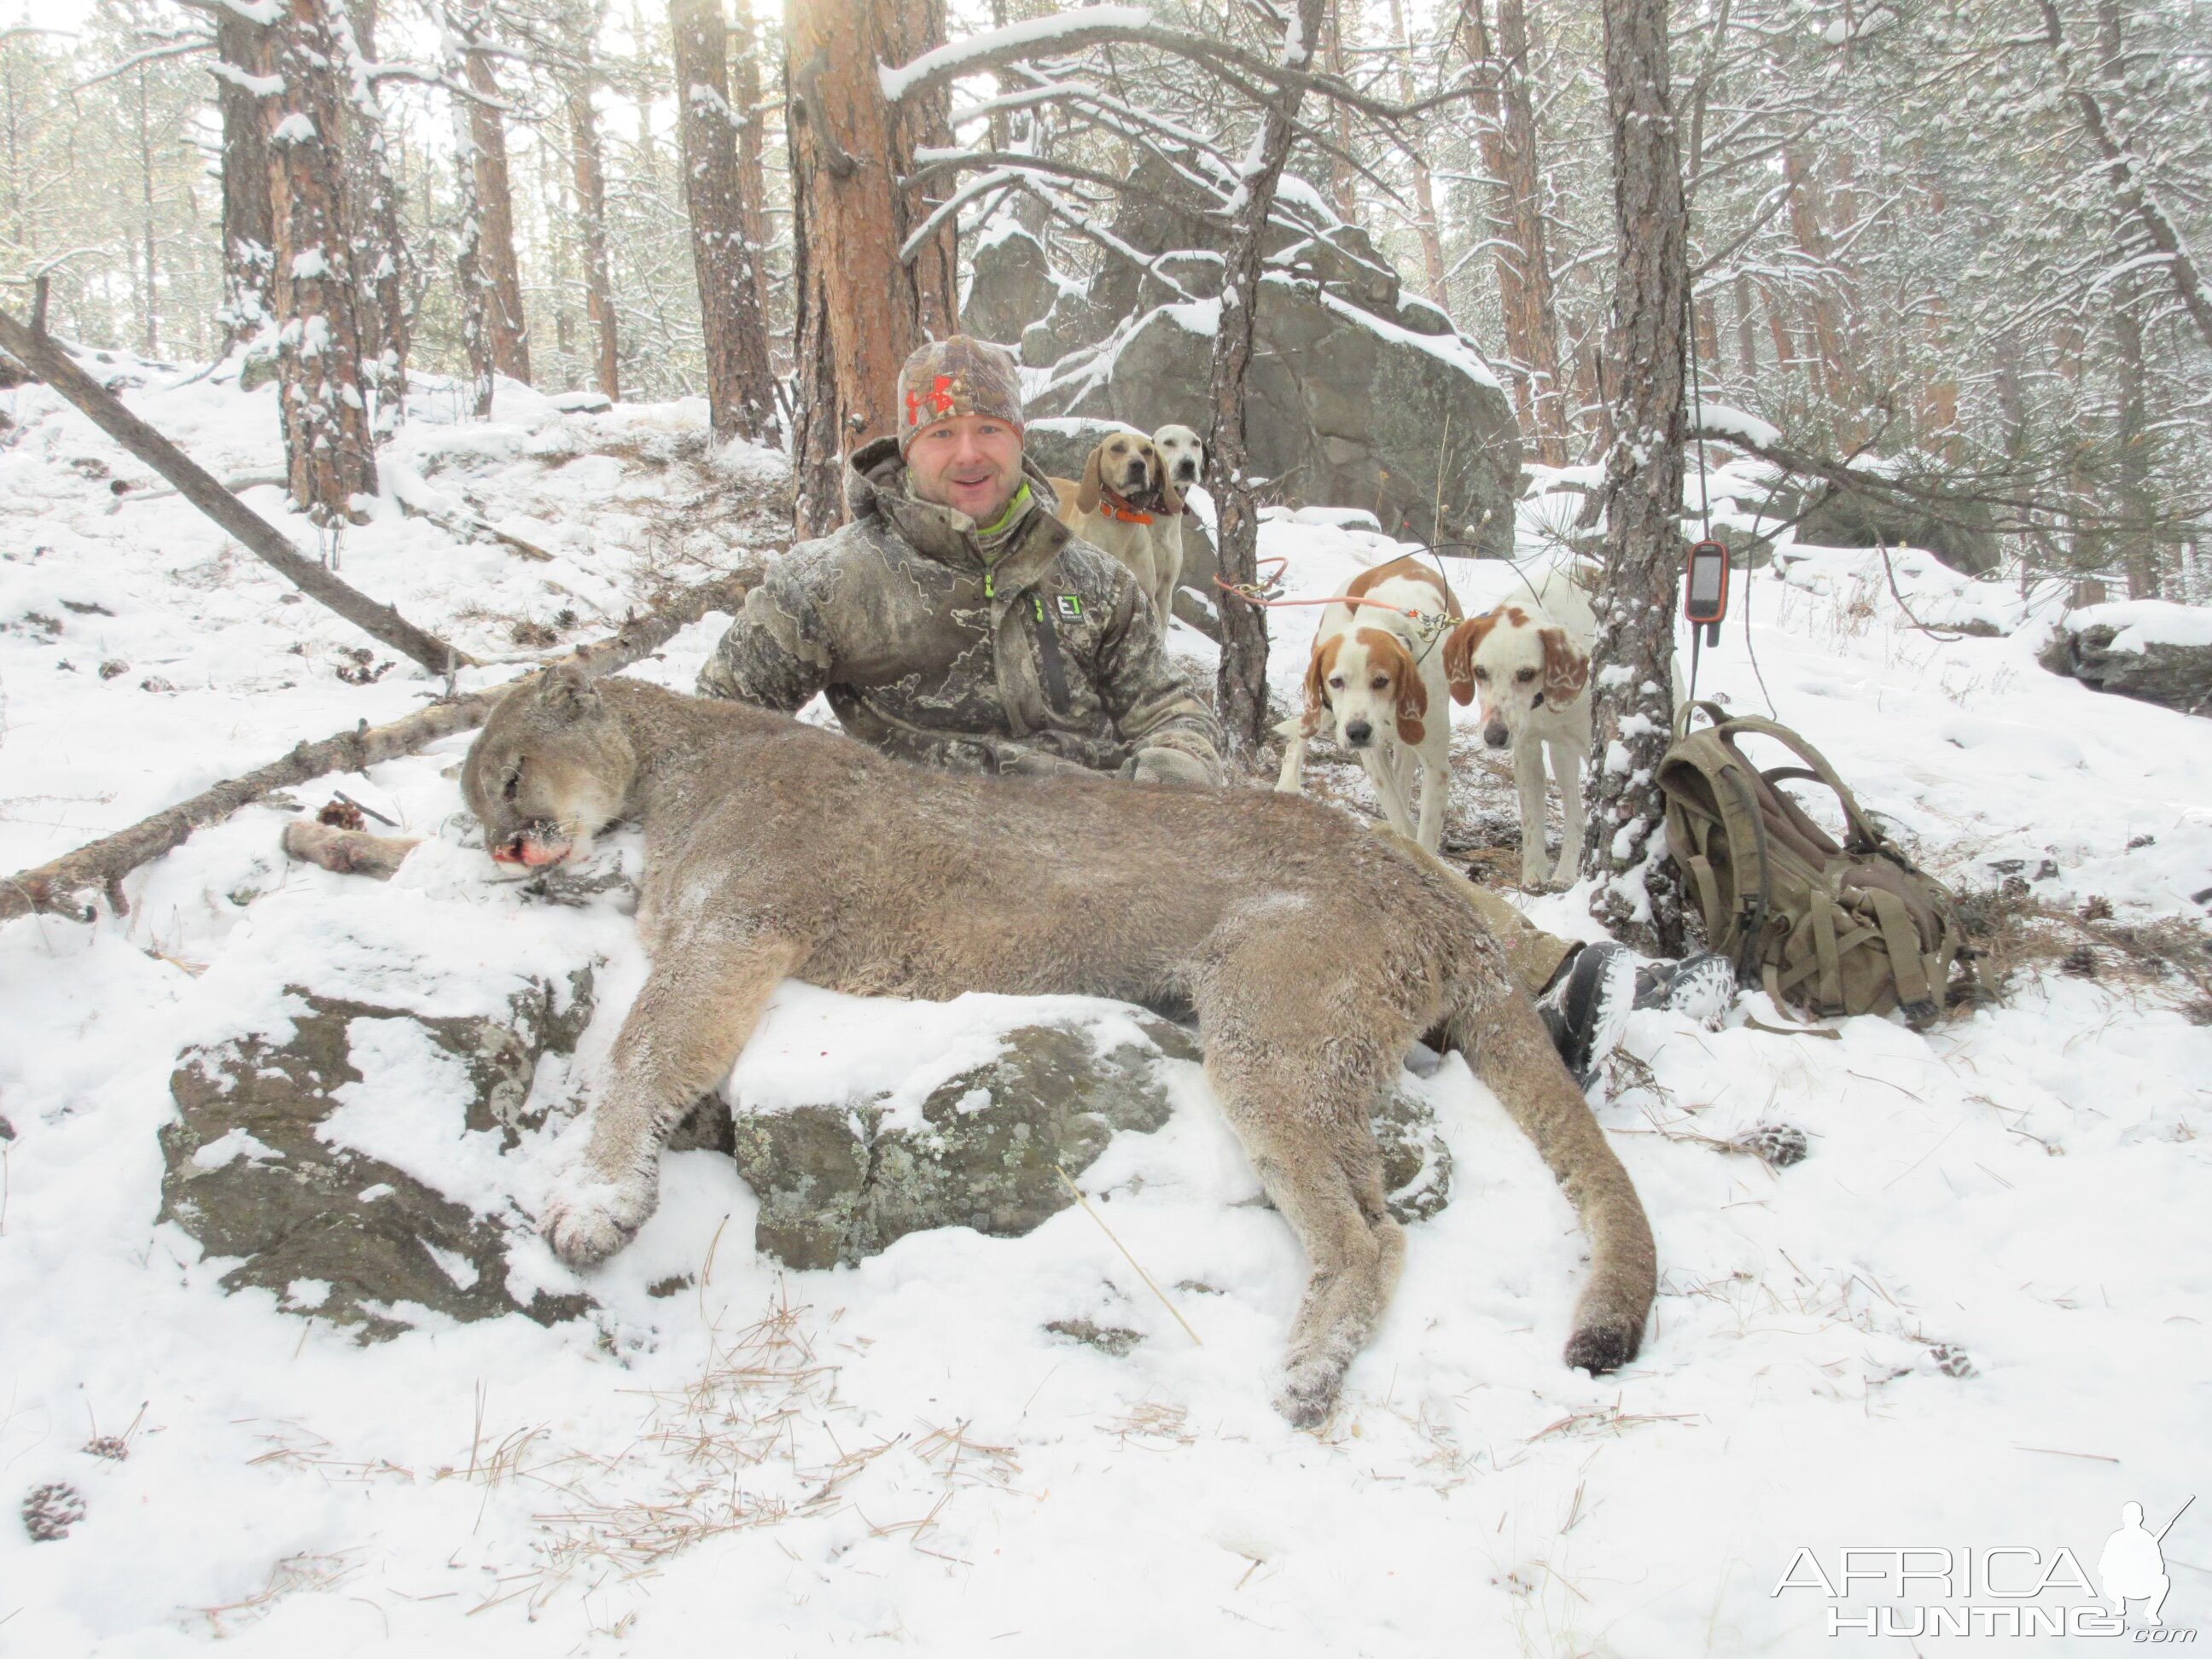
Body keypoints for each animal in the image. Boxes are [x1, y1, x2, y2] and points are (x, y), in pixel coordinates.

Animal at [466, 667, 1654, 1424]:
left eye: (509, 775)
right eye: (476, 797)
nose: (503, 845)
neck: (683, 762)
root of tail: (1429, 893)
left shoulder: (735, 926)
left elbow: (644, 1049)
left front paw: (592, 1200)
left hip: (1272, 1034)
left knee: (1366, 1235)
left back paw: (1307, 1376)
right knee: (1378, 1216)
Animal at [1273, 555, 1459, 849]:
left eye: (1382, 680)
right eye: (1336, 681)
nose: (1358, 732)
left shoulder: (1437, 766)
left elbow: (1423, 834)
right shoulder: (1372, 755)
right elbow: (1395, 809)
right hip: (1321, 704)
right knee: (1300, 736)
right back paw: (1288, 785)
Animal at [1441, 570, 1601, 888]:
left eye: (1526, 673)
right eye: (1480, 671)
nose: (1494, 737)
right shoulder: (1527, 751)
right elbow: (1531, 822)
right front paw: (1534, 877)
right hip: (1561, 757)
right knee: (1576, 816)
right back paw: (1565, 873)